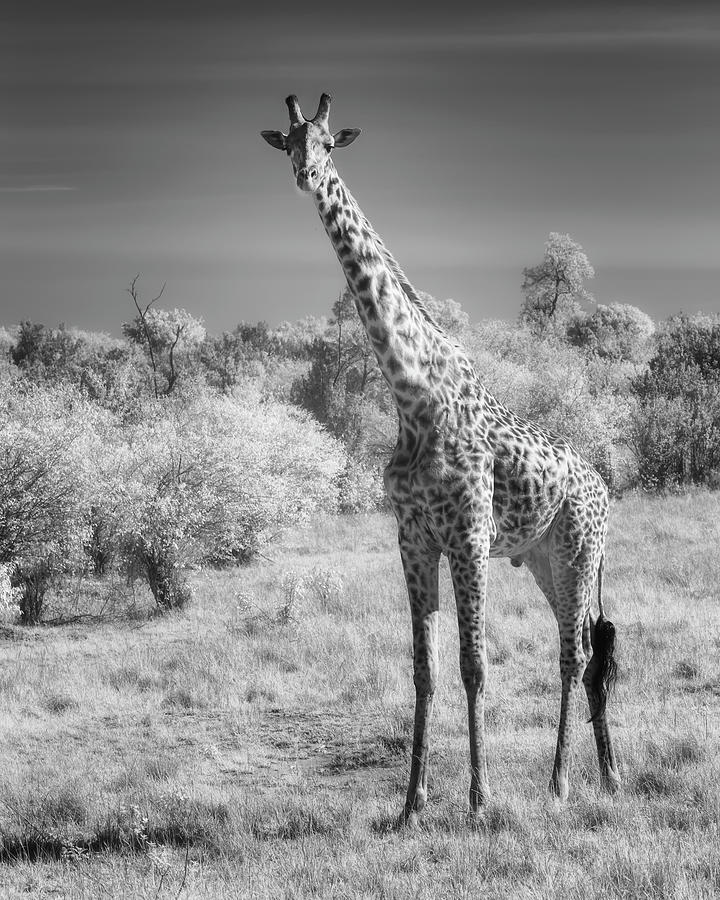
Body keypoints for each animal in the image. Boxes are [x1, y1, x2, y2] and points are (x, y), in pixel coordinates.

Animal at [262, 91, 620, 824]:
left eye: (328, 144)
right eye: (288, 140)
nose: (305, 175)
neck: (411, 394)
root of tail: (606, 490)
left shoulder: (469, 537)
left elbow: (473, 667)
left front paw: (479, 802)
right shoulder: (414, 538)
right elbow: (424, 671)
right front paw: (412, 805)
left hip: (578, 553)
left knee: (573, 656)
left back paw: (560, 784)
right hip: (545, 560)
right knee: (587, 649)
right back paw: (606, 776)